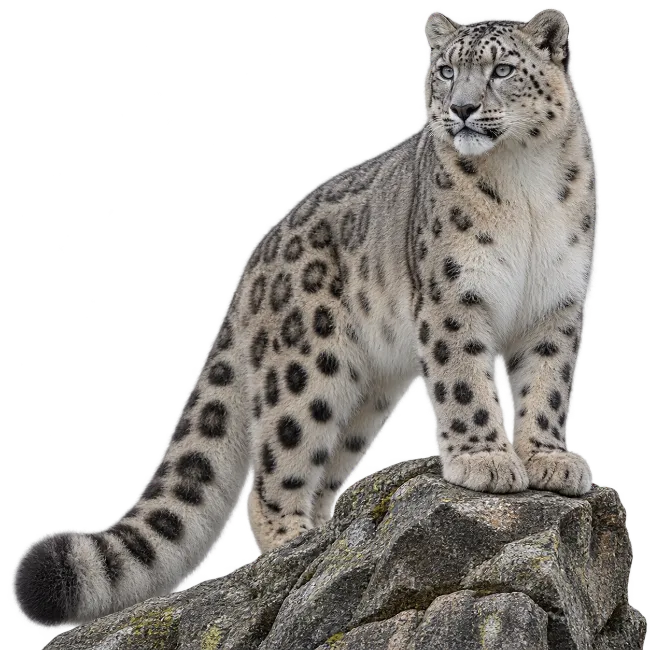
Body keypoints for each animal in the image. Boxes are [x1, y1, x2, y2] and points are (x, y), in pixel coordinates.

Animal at [10, 7, 600, 630]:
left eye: (502, 70)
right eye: (444, 71)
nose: (461, 107)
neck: (525, 183)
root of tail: (258, 256)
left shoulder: (558, 306)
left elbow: (546, 386)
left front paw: (549, 459)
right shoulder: (452, 296)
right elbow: (465, 382)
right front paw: (486, 459)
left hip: (365, 398)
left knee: (324, 467)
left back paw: (326, 536)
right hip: (307, 367)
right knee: (275, 470)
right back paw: (293, 546)